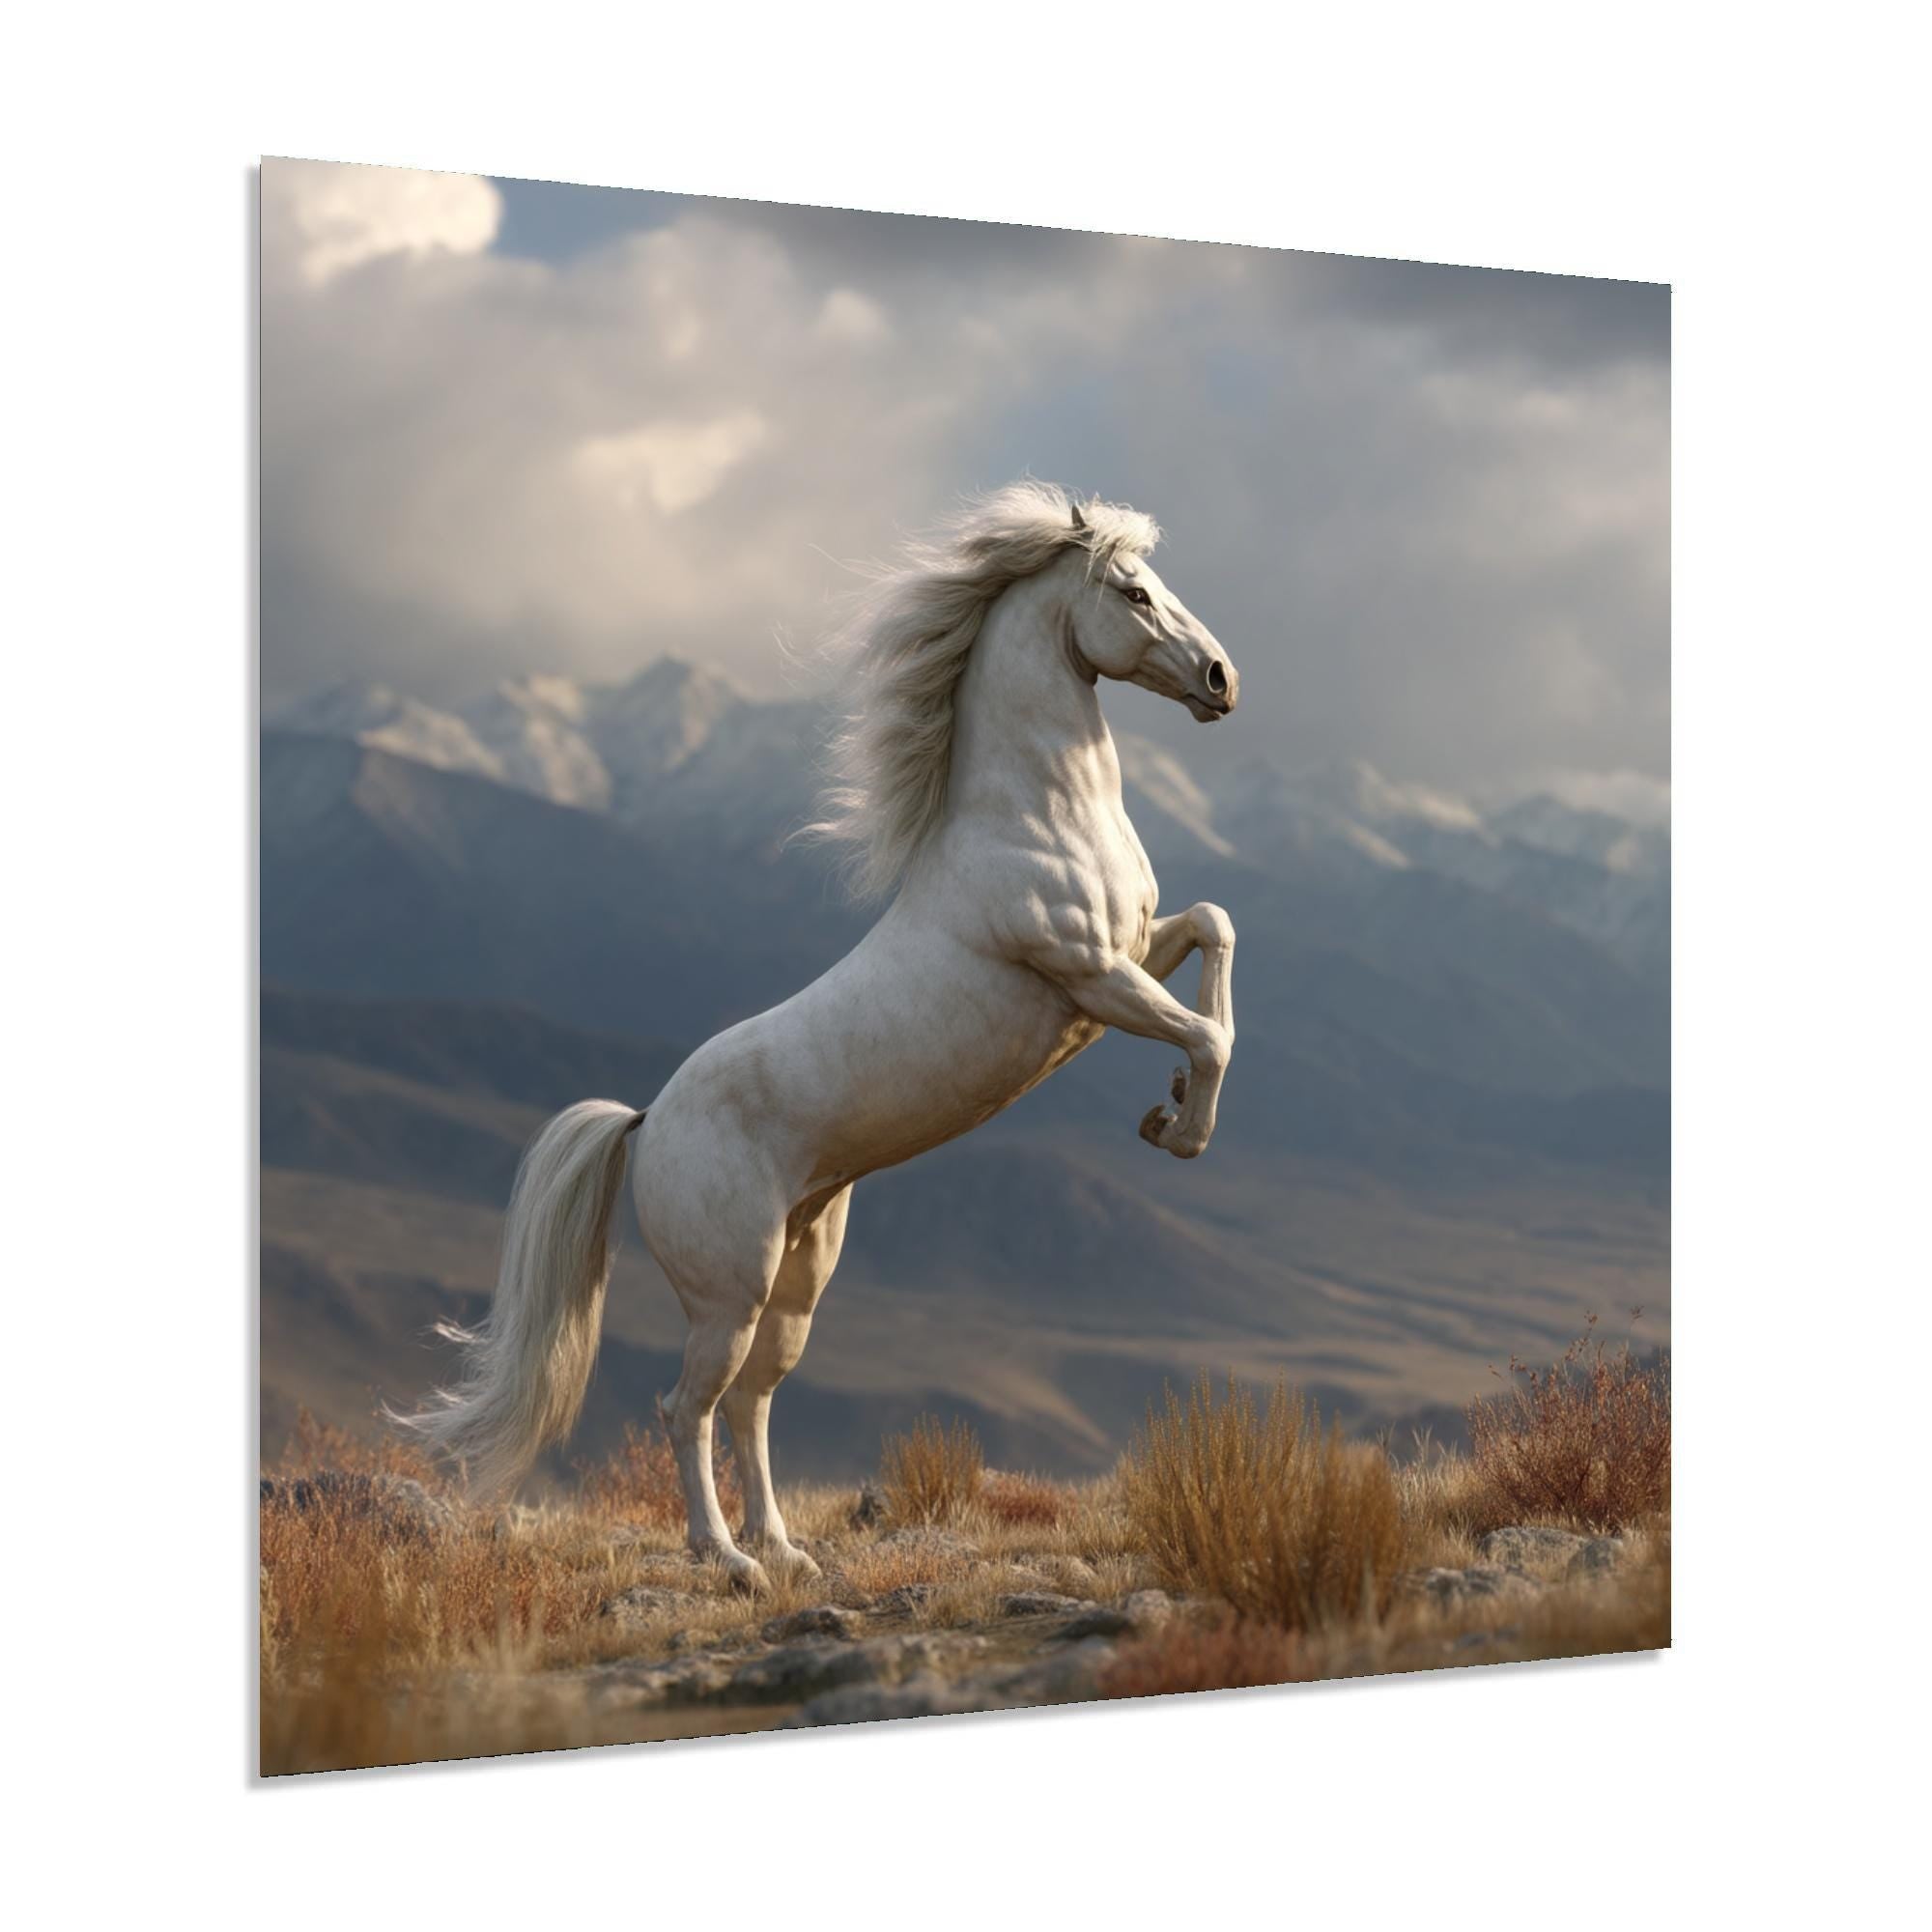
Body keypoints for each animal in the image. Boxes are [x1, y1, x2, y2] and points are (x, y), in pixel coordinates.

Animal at [394, 481, 1240, 1591]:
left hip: (798, 1278)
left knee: (753, 1400)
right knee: (687, 1406)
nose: (1222, 680)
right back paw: (730, 1561)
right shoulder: (1091, 974)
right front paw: (1179, 1131)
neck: (1031, 818)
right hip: (729, 1290)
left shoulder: (1133, 950)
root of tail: (646, 1119)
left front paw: (1164, 1111)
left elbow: (1215, 928)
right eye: (1134, 591)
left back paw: (787, 1549)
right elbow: (1207, 1034)